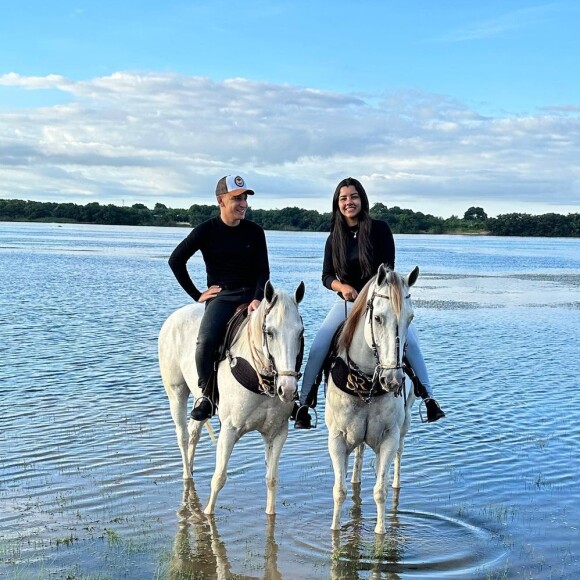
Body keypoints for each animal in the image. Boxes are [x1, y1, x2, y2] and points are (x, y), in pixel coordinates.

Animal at [157, 280, 304, 512]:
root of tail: (175, 316)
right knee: (183, 435)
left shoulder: (277, 433)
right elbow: (219, 479)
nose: (287, 389)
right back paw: (187, 475)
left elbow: (272, 480)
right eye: (270, 332)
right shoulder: (229, 430)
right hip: (176, 392)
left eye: (300, 333)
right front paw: (208, 515)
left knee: (194, 432)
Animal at [326, 266, 416, 532]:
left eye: (410, 318)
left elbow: (380, 491)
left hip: (404, 425)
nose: (393, 380)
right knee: (358, 456)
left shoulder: (389, 438)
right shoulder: (336, 439)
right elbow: (339, 491)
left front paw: (381, 531)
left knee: (398, 457)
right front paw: (335, 530)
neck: (365, 381)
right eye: (378, 318)